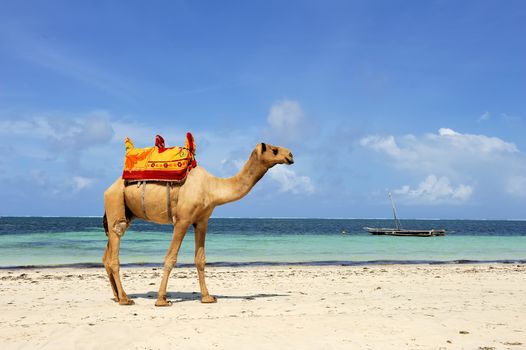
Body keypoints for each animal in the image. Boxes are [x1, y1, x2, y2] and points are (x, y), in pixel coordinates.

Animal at [101, 142, 294, 306]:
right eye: (274, 149)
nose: (290, 155)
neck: (212, 187)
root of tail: (108, 189)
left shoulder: (202, 221)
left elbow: (200, 259)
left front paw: (207, 297)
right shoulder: (183, 220)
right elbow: (171, 258)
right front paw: (162, 299)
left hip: (125, 213)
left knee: (107, 254)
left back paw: (117, 296)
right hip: (115, 201)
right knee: (115, 249)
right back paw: (125, 299)